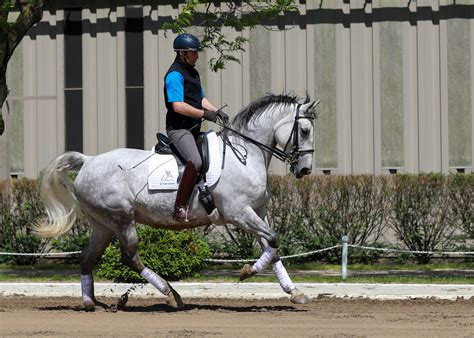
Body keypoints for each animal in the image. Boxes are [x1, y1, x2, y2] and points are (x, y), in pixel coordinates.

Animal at [34, 93, 318, 308]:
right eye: (304, 130)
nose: (304, 170)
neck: (246, 154)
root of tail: (88, 161)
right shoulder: (238, 212)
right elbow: (272, 240)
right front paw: (247, 271)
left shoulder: (259, 210)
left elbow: (272, 247)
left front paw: (295, 292)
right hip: (122, 218)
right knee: (130, 258)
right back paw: (171, 295)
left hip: (103, 224)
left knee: (87, 258)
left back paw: (91, 302)